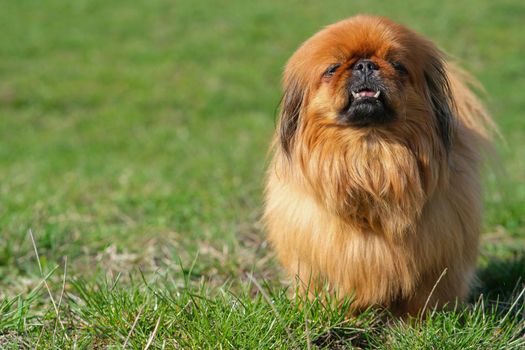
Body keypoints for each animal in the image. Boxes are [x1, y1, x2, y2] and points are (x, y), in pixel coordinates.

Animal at [264, 13, 494, 316]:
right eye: (333, 68)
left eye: (397, 65)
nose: (365, 65)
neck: (371, 153)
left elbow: (426, 296)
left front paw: (420, 321)